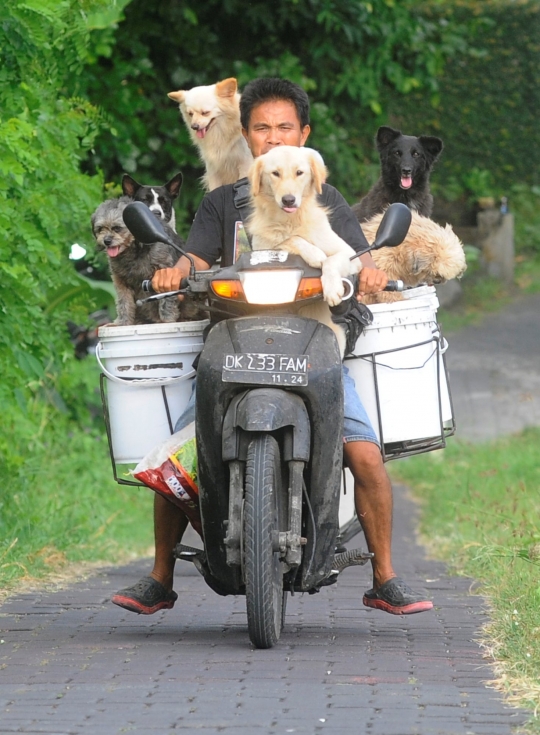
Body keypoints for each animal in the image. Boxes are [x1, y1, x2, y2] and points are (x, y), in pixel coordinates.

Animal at [92, 197, 201, 326]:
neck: (134, 250)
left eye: (117, 228)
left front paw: (167, 319)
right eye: (100, 229)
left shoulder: (164, 274)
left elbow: (167, 298)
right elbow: (124, 303)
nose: (106, 241)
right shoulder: (121, 281)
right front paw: (123, 322)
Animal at [247, 145, 360, 356]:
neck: (290, 221)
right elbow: (290, 240)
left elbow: (331, 261)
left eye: (299, 173)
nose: (288, 200)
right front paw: (315, 255)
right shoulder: (262, 250)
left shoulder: (351, 256)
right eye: (275, 173)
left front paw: (332, 289)